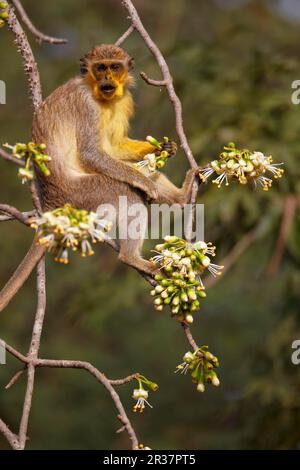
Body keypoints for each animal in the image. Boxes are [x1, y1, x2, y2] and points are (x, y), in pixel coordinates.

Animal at [0, 46, 197, 314]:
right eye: (100, 67)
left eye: (115, 67)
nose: (107, 80)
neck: (99, 95)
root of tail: (50, 201)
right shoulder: (87, 106)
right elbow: (92, 153)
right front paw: (145, 182)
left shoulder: (123, 100)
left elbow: (114, 147)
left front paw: (161, 149)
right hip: (83, 193)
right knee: (129, 194)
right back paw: (131, 255)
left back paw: (181, 197)